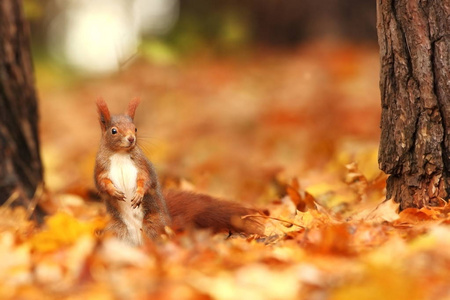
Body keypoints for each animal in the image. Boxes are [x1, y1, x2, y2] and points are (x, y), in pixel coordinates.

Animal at [95, 98, 264, 246]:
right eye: (114, 131)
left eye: (135, 128)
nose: (131, 139)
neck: (120, 154)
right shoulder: (101, 168)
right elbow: (101, 182)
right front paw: (113, 191)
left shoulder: (142, 165)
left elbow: (145, 180)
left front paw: (139, 194)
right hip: (116, 230)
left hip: (152, 224)